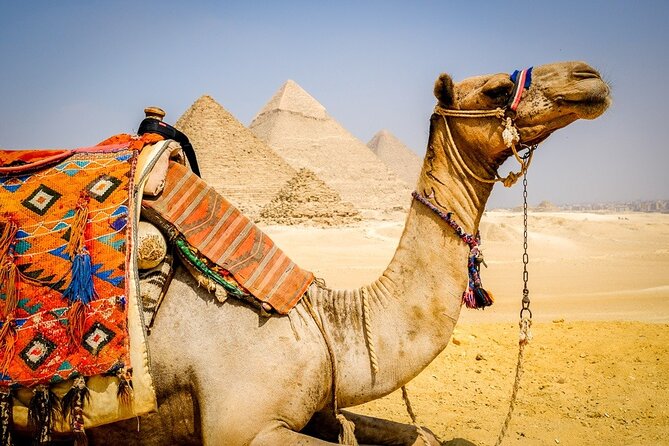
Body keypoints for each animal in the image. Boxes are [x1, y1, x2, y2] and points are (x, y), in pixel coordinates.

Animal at [82, 61, 610, 445]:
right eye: (498, 89)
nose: (588, 77)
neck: (322, 323)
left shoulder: (322, 405)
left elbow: (422, 435)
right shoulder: (243, 426)